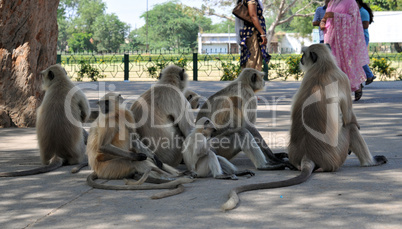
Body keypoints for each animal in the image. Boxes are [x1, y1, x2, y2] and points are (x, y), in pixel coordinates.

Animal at [220, 43, 386, 211]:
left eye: (303, 55)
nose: (300, 59)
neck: (322, 67)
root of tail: (307, 155)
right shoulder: (343, 77)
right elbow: (348, 119)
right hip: (337, 156)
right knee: (350, 129)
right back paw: (371, 162)